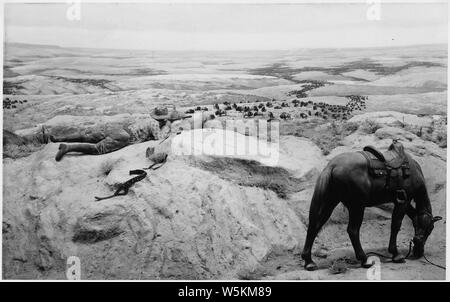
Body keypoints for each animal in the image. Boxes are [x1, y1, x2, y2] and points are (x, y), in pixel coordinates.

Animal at [302, 142, 442, 272]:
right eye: (430, 230)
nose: (419, 252)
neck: (413, 172)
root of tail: (332, 166)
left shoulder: (402, 201)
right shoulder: (404, 202)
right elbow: (395, 225)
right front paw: (396, 255)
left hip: (330, 202)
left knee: (314, 226)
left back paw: (309, 262)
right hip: (357, 206)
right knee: (352, 230)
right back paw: (364, 259)